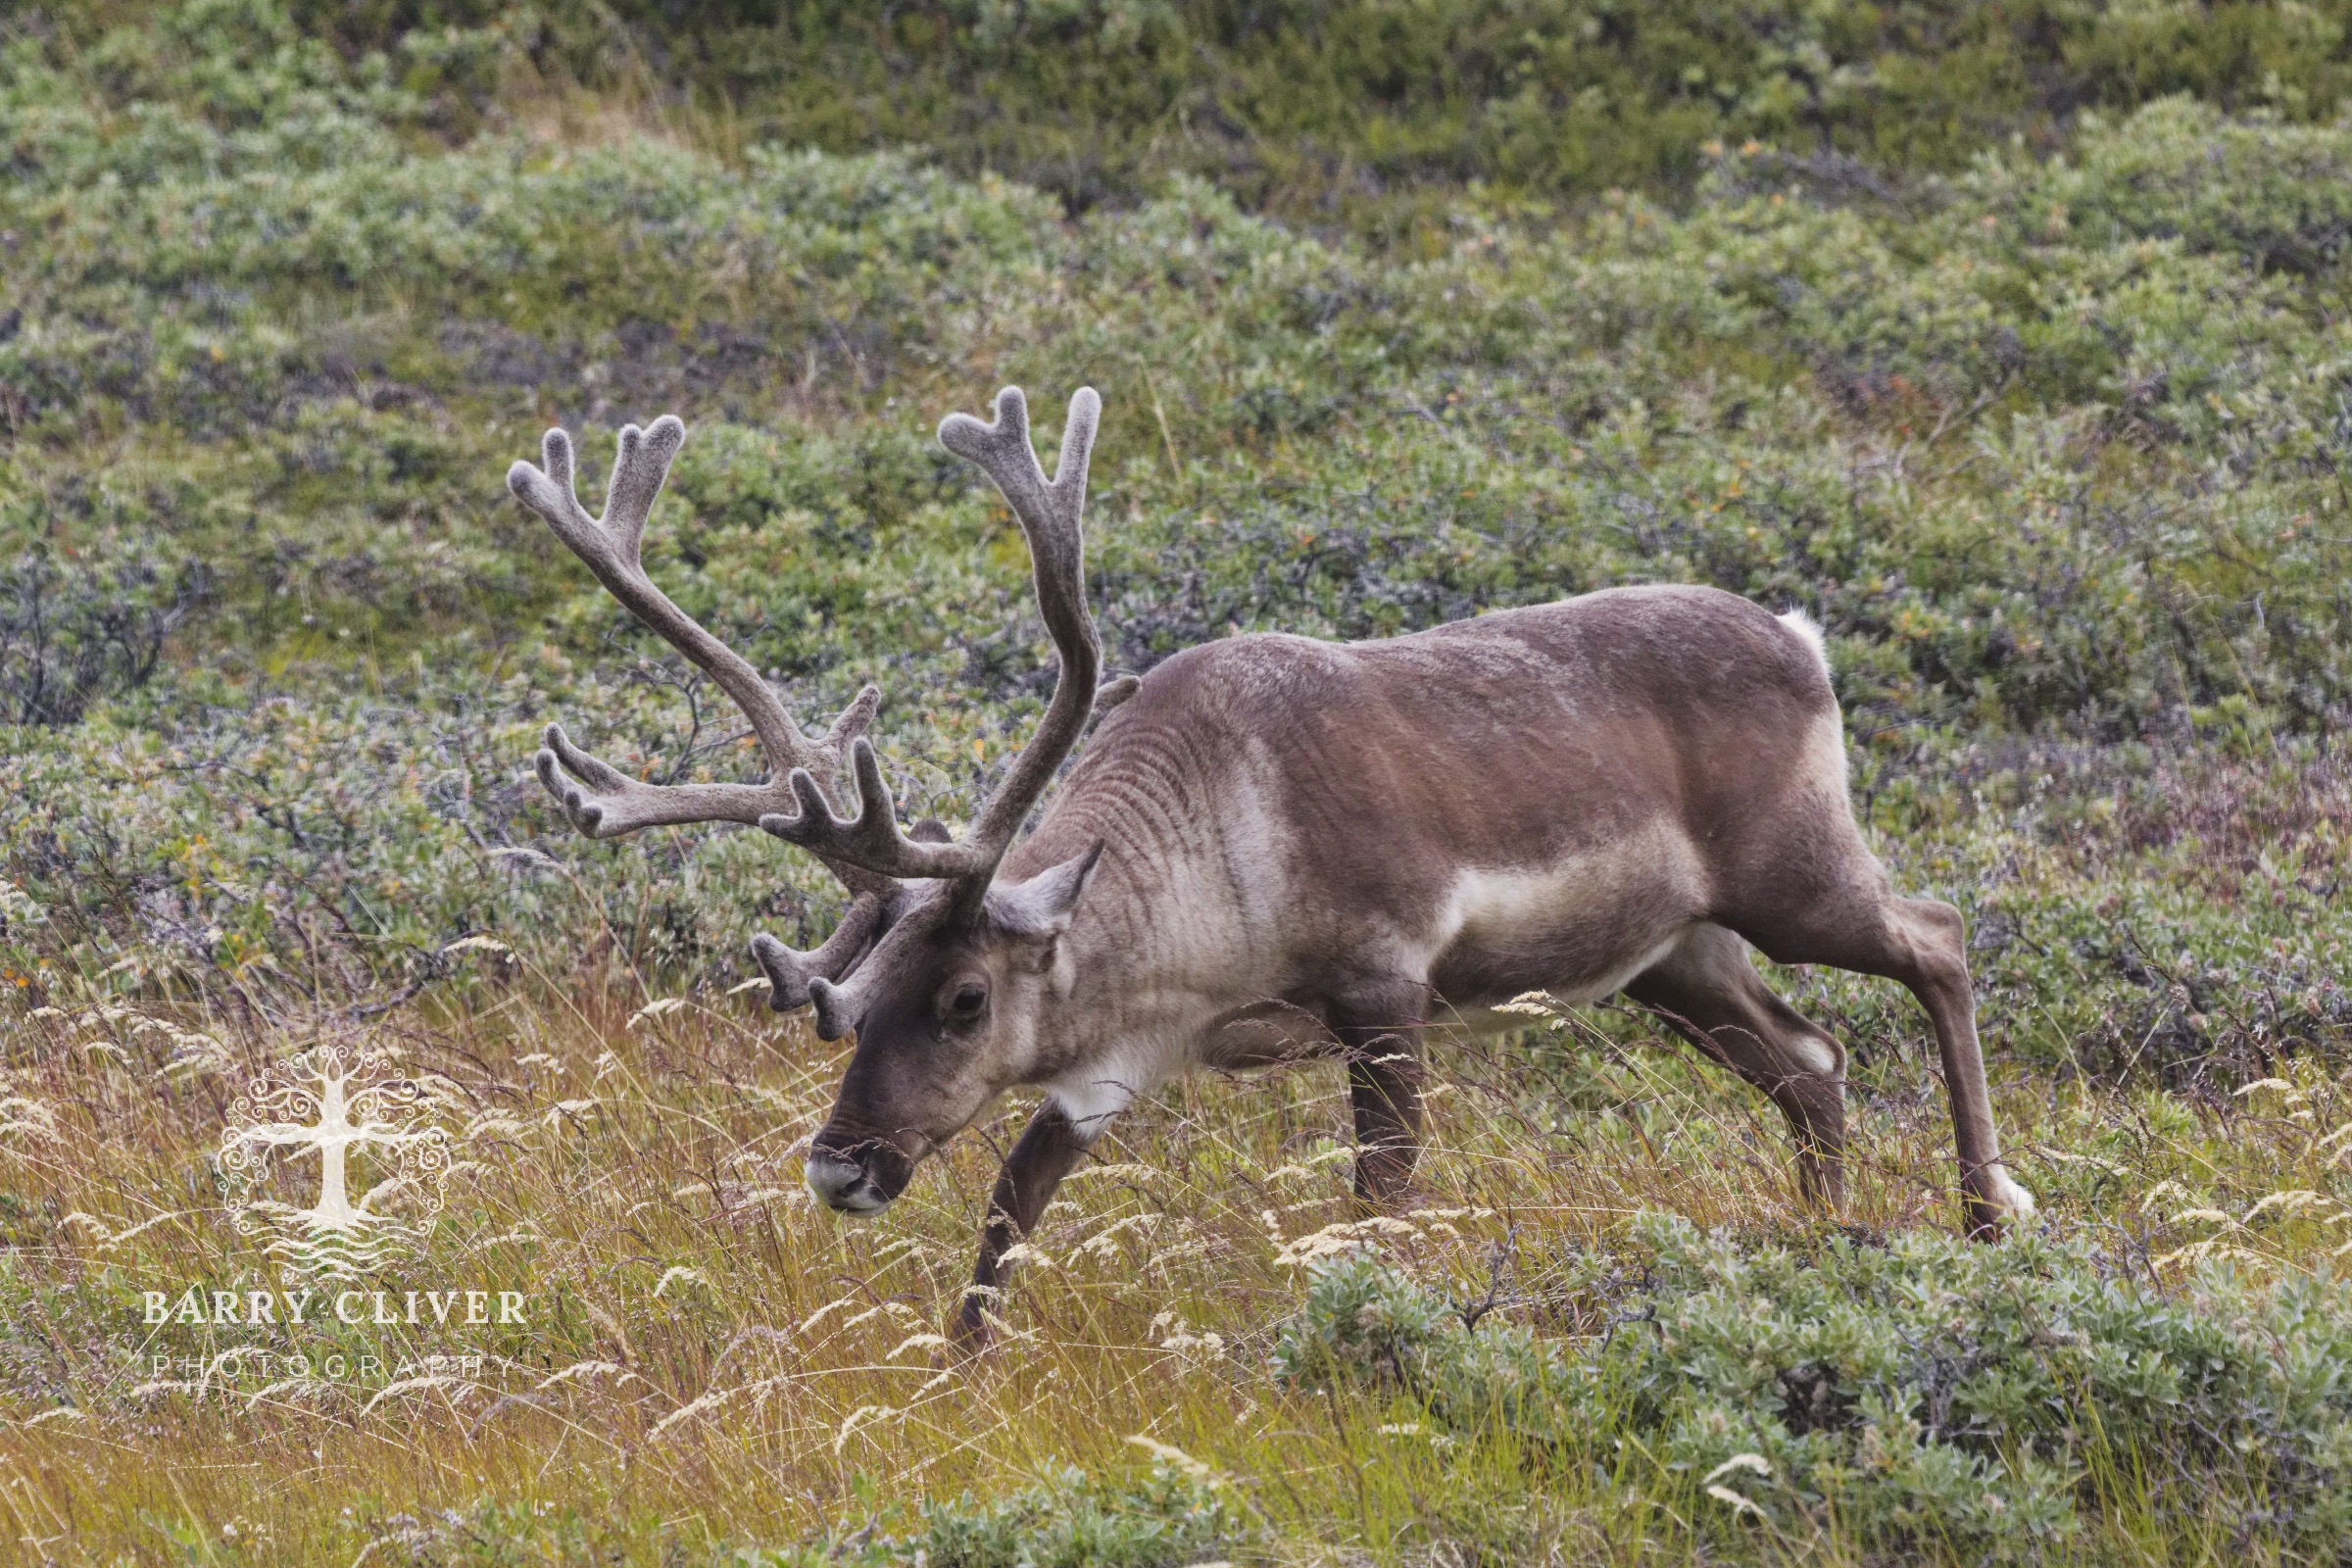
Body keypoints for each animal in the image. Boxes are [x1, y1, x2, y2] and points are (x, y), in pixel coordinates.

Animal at [508, 386, 2036, 1343]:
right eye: (855, 994)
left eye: (962, 1000)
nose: (840, 1166)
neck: (1215, 890)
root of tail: (1802, 638)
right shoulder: (1126, 1057)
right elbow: (1012, 1203)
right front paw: (959, 1367)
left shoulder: (1385, 982)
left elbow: (1383, 1195)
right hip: (1677, 955)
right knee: (1813, 1064)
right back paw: (1821, 1240)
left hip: (1795, 877)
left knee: (1939, 937)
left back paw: (1984, 1215)